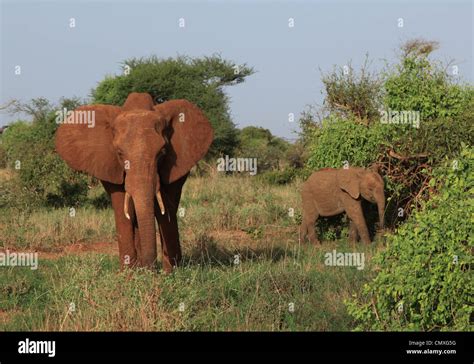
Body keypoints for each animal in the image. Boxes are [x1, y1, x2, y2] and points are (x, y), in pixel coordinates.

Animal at [54, 92, 215, 272]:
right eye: (119, 153)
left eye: (162, 152)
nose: (151, 269)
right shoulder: (110, 164)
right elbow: (122, 207)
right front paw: (129, 274)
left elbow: (164, 208)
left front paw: (169, 273)